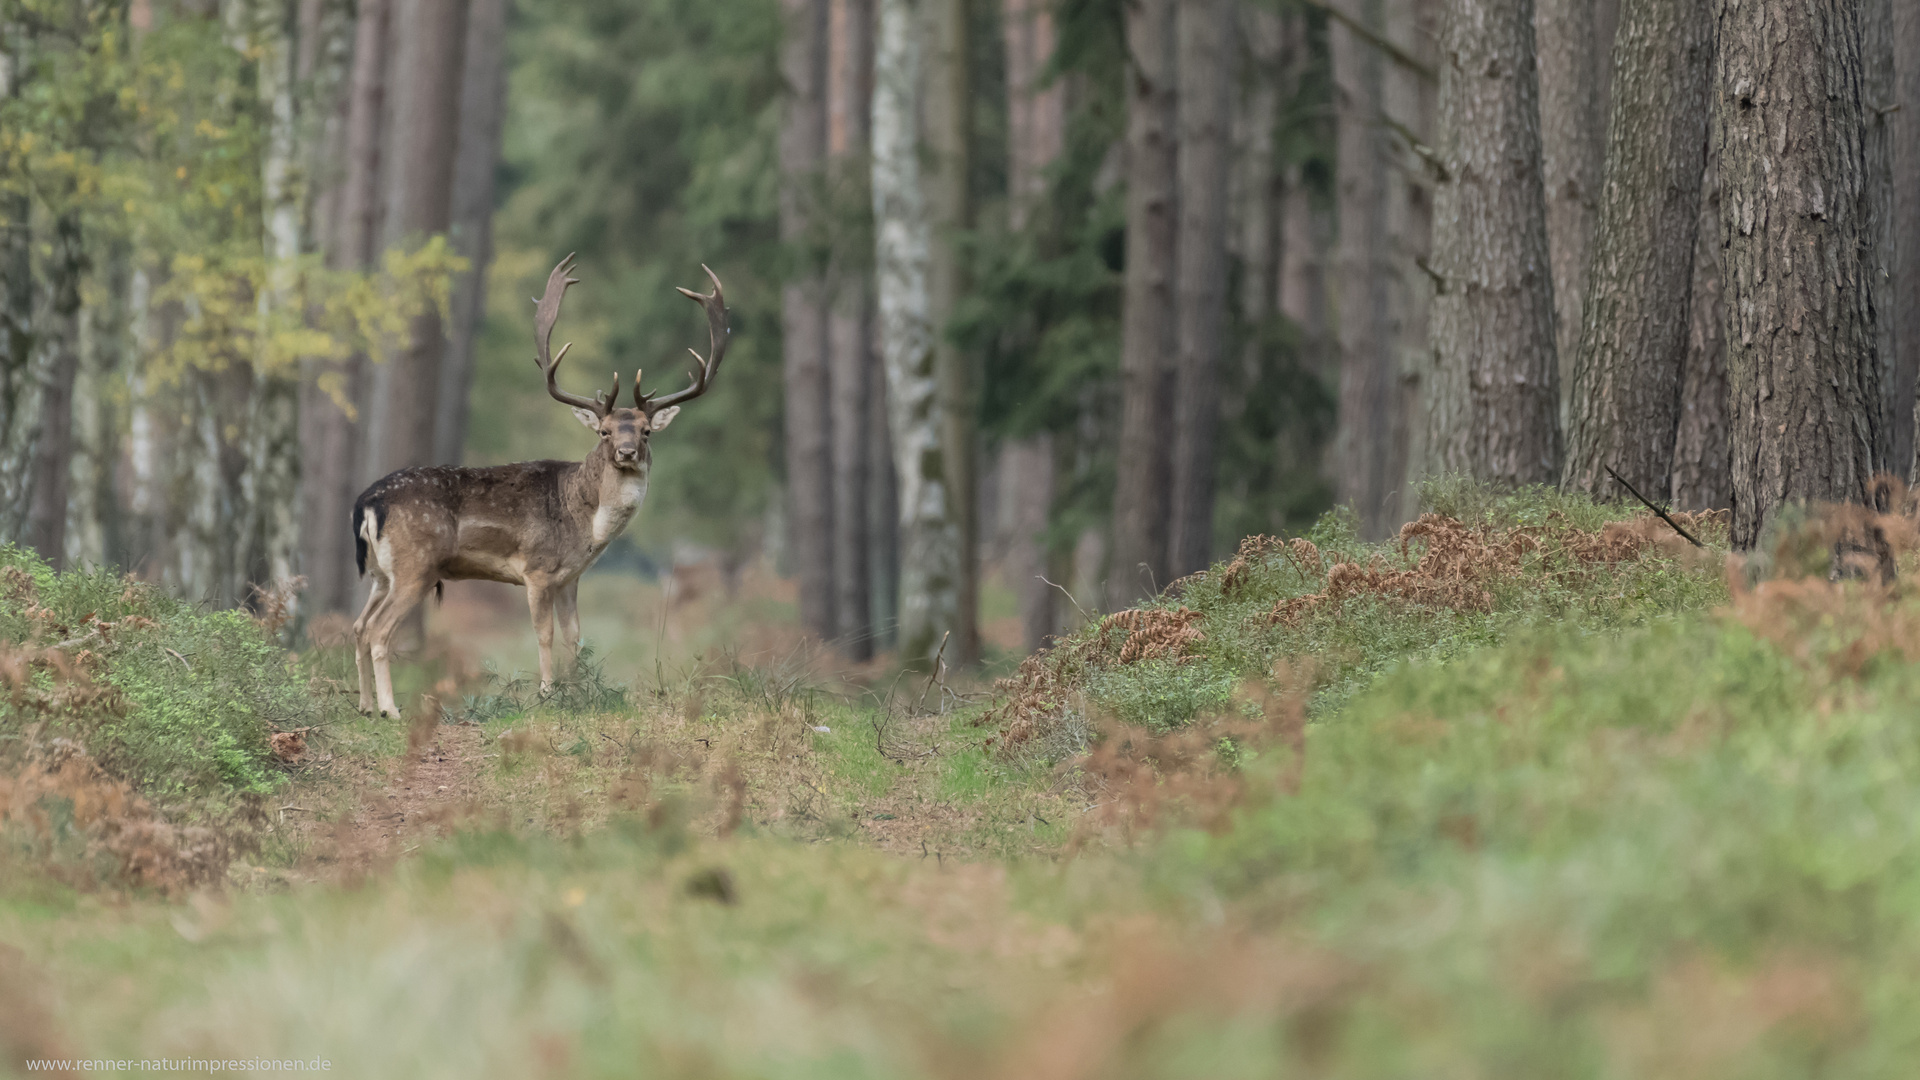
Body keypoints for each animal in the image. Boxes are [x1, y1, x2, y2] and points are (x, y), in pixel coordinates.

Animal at [353, 253, 725, 714]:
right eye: (603, 431)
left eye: (646, 431)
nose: (625, 452)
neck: (585, 524)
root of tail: (367, 502)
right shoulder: (537, 569)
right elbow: (544, 634)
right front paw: (547, 693)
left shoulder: (570, 578)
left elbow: (576, 637)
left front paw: (581, 693)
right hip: (414, 567)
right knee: (379, 630)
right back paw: (390, 708)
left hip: (379, 573)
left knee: (358, 626)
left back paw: (365, 704)